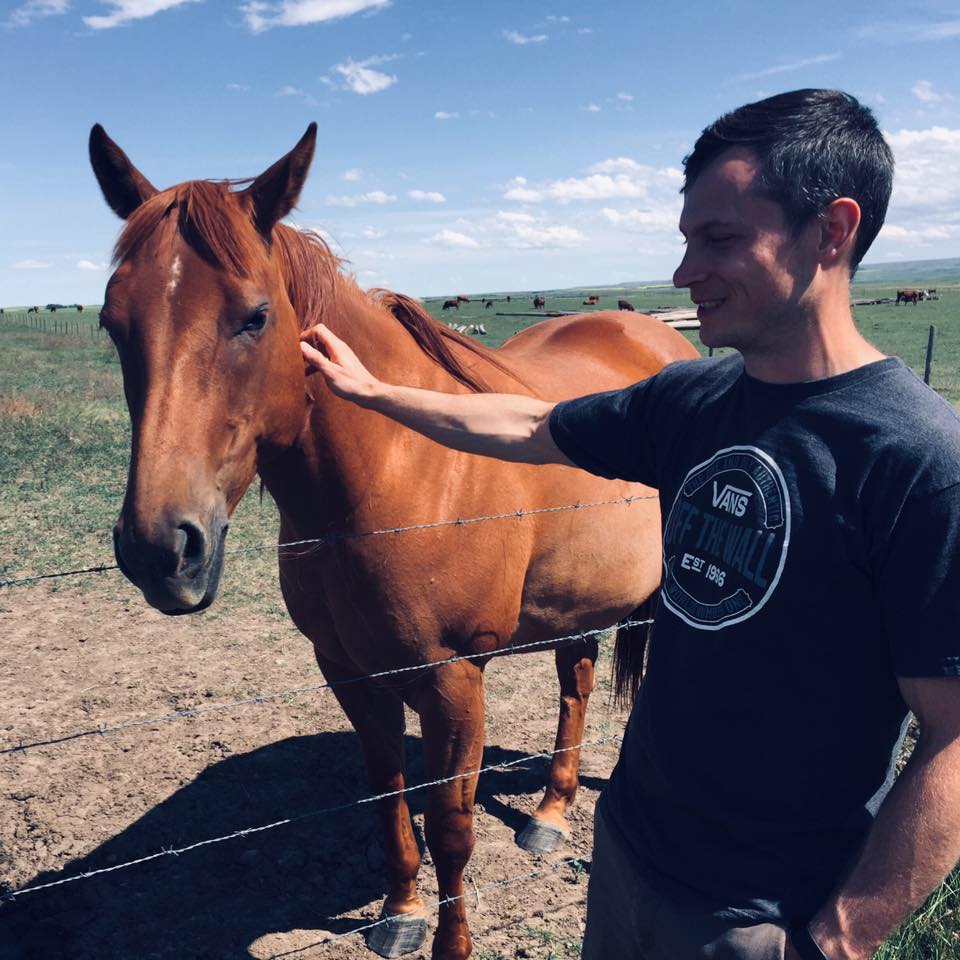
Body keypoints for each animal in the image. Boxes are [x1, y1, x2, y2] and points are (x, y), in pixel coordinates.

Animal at [88, 122, 698, 960]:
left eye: (255, 316)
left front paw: (452, 943)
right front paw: (401, 912)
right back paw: (549, 814)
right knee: (575, 681)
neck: (401, 474)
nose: (159, 549)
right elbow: (389, 799)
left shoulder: (454, 681)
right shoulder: (349, 671)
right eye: (113, 322)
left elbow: (451, 828)